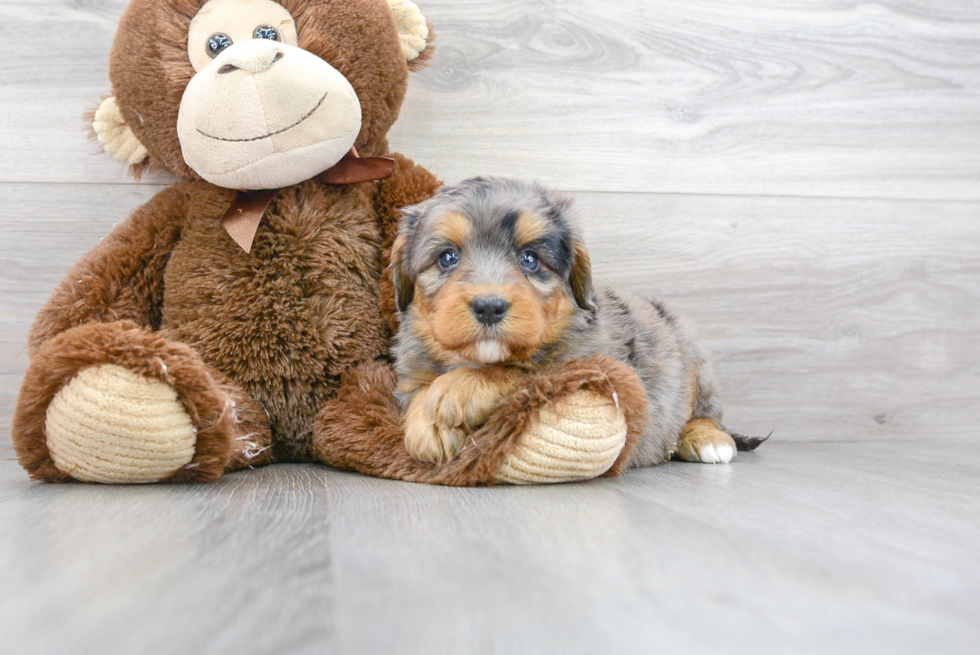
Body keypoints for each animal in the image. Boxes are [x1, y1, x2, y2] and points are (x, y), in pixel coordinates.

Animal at [390, 177, 752, 468]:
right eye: (447, 258)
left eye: (530, 259)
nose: (489, 307)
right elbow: (421, 392)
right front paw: (426, 423)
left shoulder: (584, 363)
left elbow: (520, 371)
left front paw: (451, 396)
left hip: (696, 367)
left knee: (705, 414)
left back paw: (708, 441)